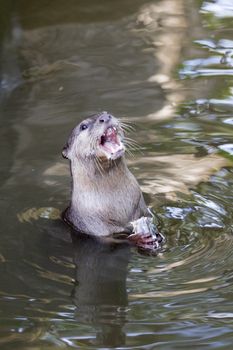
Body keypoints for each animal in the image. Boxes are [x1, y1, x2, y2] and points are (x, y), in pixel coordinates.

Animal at [62, 110, 164, 250]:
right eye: (83, 126)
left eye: (105, 112)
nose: (105, 117)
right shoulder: (93, 227)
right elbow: (113, 241)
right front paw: (139, 239)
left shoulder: (143, 207)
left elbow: (152, 218)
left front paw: (158, 233)